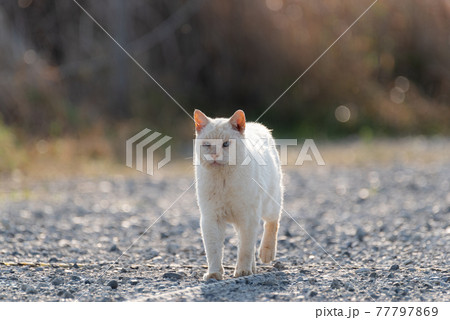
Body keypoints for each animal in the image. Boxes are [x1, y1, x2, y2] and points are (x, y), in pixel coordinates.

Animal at [194, 110, 284, 280]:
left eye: (226, 144)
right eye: (207, 145)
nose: (214, 155)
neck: (223, 179)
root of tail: (255, 124)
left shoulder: (248, 217)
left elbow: (245, 250)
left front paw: (242, 272)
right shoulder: (211, 218)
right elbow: (213, 250)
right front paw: (214, 274)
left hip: (270, 204)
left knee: (273, 222)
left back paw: (266, 254)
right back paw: (253, 267)